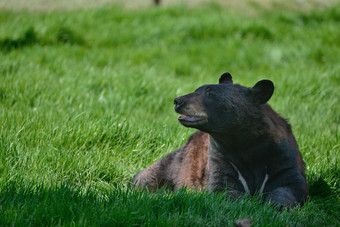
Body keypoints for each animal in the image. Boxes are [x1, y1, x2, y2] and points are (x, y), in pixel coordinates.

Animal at [131, 73, 310, 208]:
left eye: (211, 94)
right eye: (196, 90)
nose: (178, 101)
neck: (244, 144)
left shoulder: (282, 158)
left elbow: (289, 186)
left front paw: (275, 205)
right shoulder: (220, 157)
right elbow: (224, 188)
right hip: (176, 162)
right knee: (148, 176)